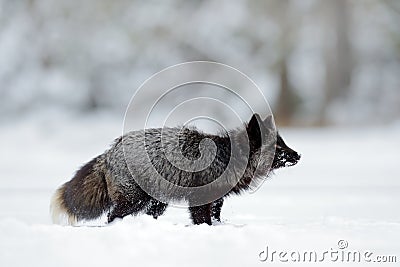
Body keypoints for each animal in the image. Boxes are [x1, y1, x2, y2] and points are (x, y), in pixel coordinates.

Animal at [50, 113, 300, 226]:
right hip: (133, 200)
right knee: (112, 215)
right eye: (278, 147)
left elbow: (215, 217)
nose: (298, 155)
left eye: (283, 143)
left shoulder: (216, 199)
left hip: (157, 202)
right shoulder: (199, 199)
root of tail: (109, 151)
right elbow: (203, 220)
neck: (227, 156)